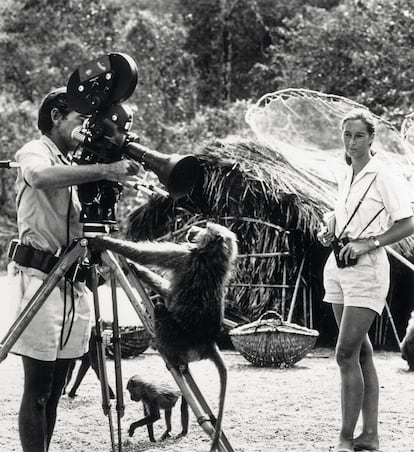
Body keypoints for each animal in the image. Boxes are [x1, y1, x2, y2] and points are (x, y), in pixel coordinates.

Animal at [92, 222, 238, 452]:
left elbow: (143, 255)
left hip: (180, 342)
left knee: (161, 309)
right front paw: (134, 269)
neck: (212, 257)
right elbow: (168, 291)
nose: (194, 228)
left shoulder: (185, 256)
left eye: (205, 227)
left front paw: (104, 241)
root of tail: (208, 342)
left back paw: (167, 353)